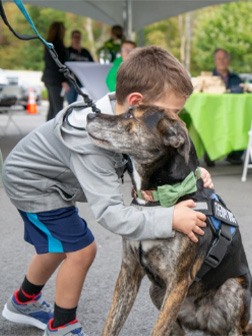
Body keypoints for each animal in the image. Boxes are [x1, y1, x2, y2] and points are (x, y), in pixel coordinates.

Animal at [85, 105, 251, 336]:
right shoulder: (129, 270)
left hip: (232, 290)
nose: (89, 115)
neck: (157, 201)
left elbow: (157, 328)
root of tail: (203, 322)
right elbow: (112, 323)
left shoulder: (178, 281)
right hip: (156, 291)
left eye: (130, 115)